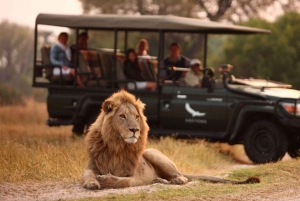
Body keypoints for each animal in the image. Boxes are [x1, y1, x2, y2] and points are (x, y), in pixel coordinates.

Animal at [82, 90, 260, 189]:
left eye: (136, 116)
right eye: (122, 116)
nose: (135, 130)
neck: (117, 146)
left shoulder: (137, 177)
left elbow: (124, 182)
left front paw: (106, 180)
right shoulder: (92, 165)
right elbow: (88, 174)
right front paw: (92, 182)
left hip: (153, 153)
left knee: (182, 177)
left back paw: (173, 181)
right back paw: (159, 180)